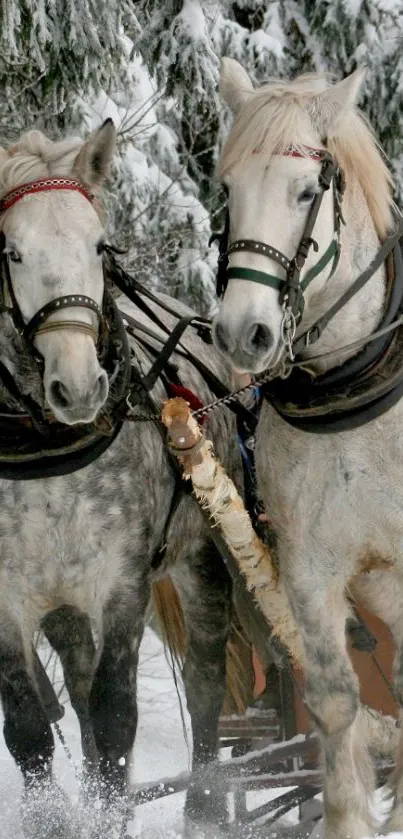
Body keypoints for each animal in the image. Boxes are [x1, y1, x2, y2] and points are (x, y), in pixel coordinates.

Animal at [0, 121, 240, 836]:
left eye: (99, 245)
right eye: (12, 252)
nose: (79, 386)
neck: (48, 442)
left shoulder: (123, 581)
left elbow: (116, 716)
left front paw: (111, 814)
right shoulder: (9, 597)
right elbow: (30, 728)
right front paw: (56, 818)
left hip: (203, 557)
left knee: (206, 676)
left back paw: (205, 804)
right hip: (64, 601)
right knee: (76, 691)